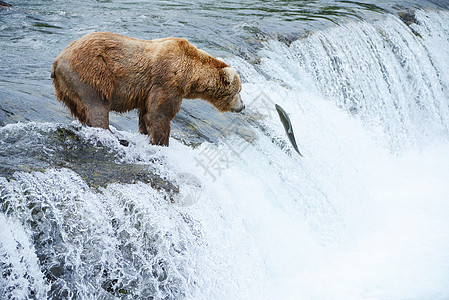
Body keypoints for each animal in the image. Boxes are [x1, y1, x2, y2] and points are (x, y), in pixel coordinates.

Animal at [50, 31, 243, 146]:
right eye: (239, 91)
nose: (242, 106)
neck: (191, 75)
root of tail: (58, 60)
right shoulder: (167, 81)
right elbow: (160, 113)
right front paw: (161, 143)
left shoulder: (147, 92)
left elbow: (146, 113)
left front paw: (145, 134)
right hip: (91, 74)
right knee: (97, 107)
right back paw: (115, 137)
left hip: (67, 87)